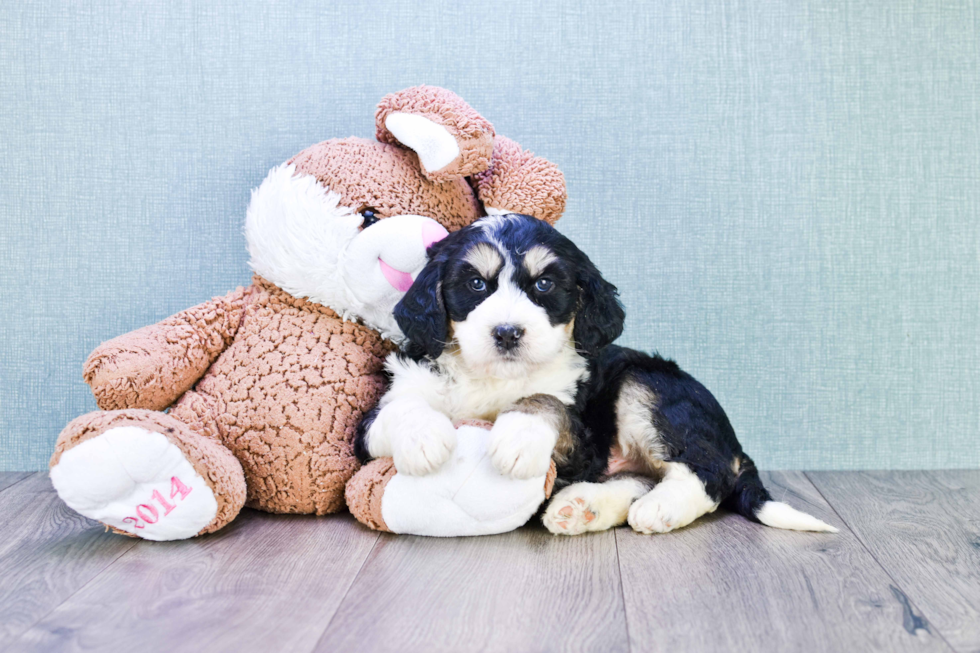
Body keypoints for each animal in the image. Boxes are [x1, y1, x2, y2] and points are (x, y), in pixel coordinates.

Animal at [356, 214, 840, 536]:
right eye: (476, 284)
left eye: (545, 285)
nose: (508, 333)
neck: (493, 379)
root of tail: (734, 443)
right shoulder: (375, 420)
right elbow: (401, 409)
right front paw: (423, 439)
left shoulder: (582, 438)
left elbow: (545, 401)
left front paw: (518, 437)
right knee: (640, 477)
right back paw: (583, 507)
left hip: (648, 384)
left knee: (708, 471)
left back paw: (659, 509)